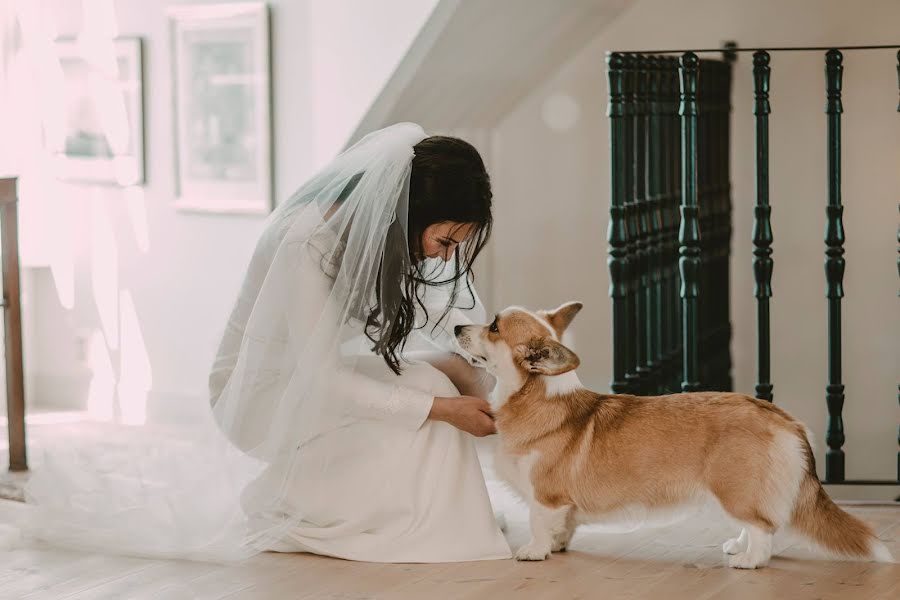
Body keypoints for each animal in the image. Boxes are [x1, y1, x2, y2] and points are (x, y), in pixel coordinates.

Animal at [458, 302, 892, 568]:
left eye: (493, 326)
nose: (458, 325)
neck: (537, 396)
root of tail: (787, 420)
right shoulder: (561, 505)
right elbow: (563, 526)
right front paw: (558, 545)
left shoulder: (545, 496)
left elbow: (537, 522)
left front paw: (534, 551)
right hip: (741, 489)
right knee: (758, 521)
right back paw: (739, 546)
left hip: (733, 486)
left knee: (764, 527)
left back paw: (748, 561)